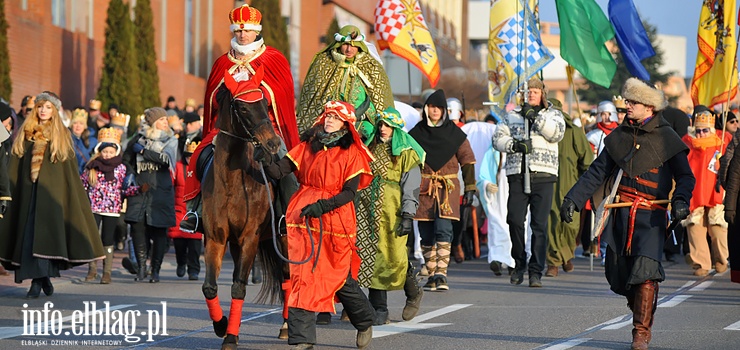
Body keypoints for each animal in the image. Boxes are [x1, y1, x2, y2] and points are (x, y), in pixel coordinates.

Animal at [201, 66, 288, 350]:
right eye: (242, 107)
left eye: (263, 101)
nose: (271, 143)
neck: (232, 182)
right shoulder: (216, 238)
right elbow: (210, 287)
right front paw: (221, 325)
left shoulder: (250, 237)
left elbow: (238, 286)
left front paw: (231, 337)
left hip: (283, 238)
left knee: (288, 277)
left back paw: (287, 326)